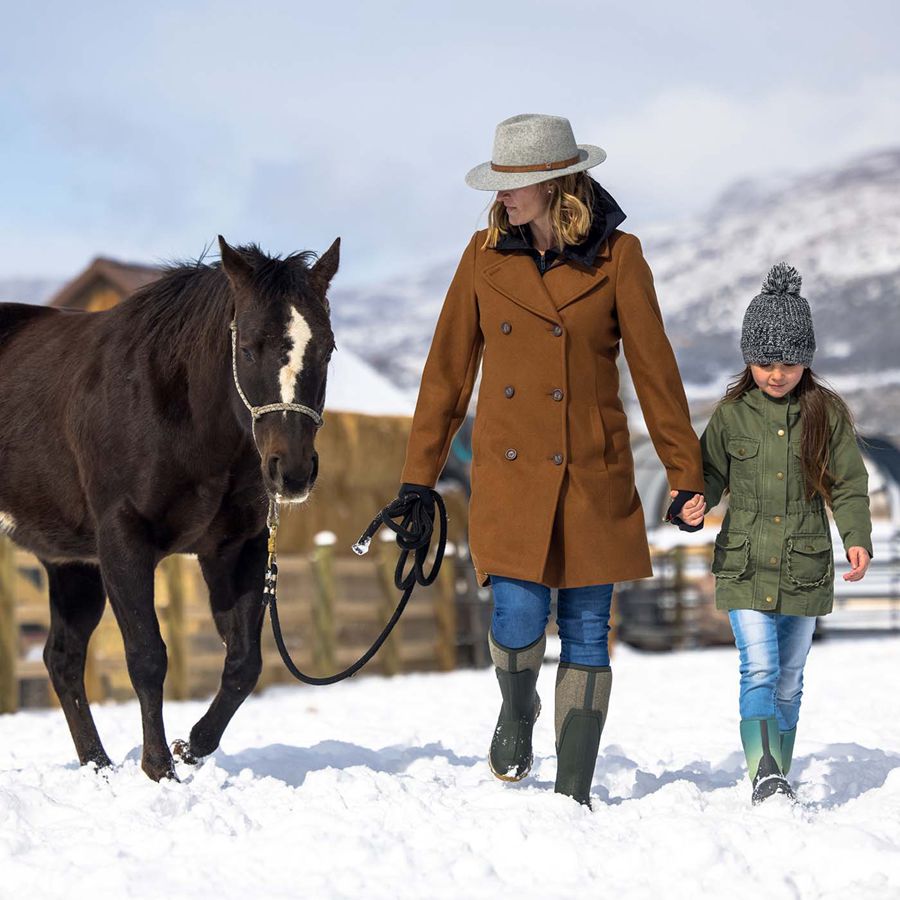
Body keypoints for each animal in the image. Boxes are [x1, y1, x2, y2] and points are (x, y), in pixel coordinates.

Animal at [0, 236, 338, 776]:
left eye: (326, 349)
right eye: (248, 348)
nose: (292, 472)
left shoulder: (236, 549)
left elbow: (244, 663)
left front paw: (191, 747)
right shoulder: (123, 542)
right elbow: (147, 656)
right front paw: (159, 768)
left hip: (69, 562)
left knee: (62, 658)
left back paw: (98, 765)